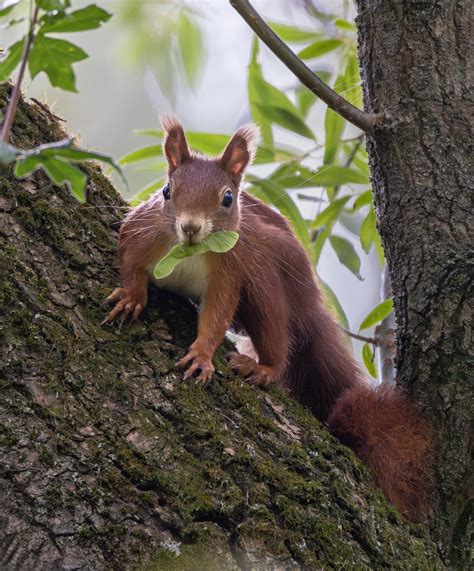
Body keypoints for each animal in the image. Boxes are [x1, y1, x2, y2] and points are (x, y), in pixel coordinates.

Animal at [105, 117, 432, 524]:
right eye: (166, 190)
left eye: (228, 198)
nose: (191, 227)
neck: (189, 252)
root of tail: (310, 303)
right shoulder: (142, 230)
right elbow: (130, 259)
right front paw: (131, 297)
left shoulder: (230, 271)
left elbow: (217, 314)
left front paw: (202, 356)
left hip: (266, 287)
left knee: (279, 340)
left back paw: (262, 368)